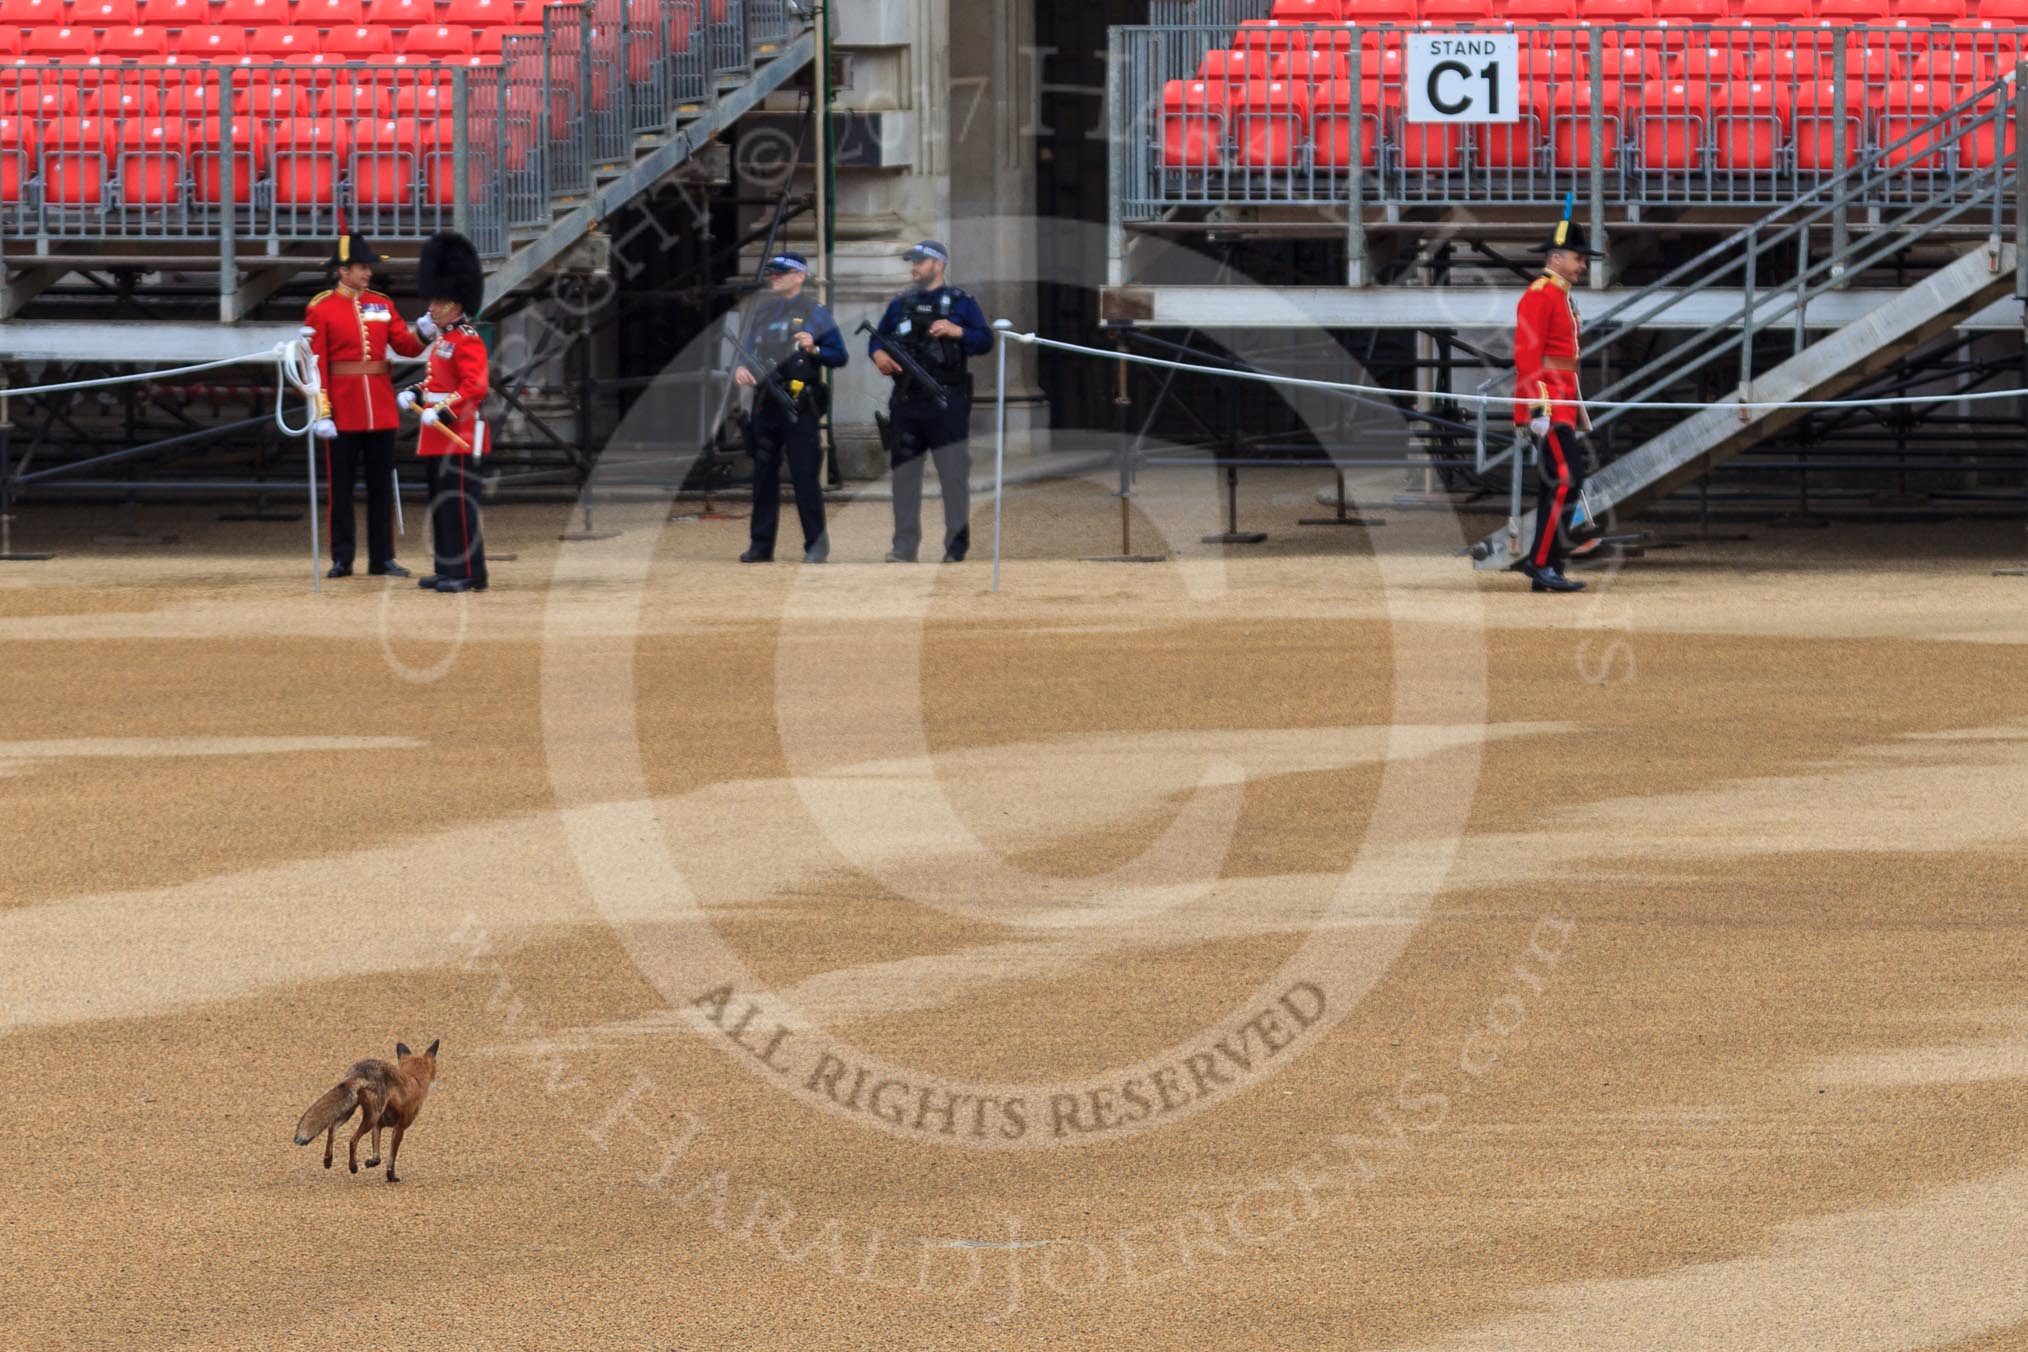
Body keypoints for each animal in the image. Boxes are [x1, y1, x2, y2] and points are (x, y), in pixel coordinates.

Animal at [290, 1045, 436, 1175]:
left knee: (331, 1128)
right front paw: (391, 1176)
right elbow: (391, 1158)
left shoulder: (379, 1125)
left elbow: (377, 1156)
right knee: (352, 1140)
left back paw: (328, 1160)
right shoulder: (399, 1127)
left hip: (350, 1109)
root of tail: (361, 1070)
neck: (415, 1080)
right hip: (371, 1117)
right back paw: (353, 1167)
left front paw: (372, 1162)